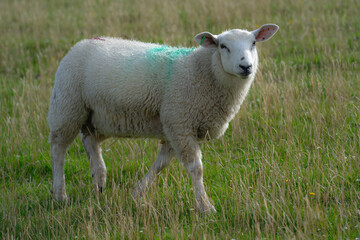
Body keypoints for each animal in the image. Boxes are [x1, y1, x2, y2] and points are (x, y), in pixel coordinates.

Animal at [47, 23, 278, 213]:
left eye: (253, 43)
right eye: (223, 46)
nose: (245, 66)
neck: (201, 72)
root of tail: (82, 43)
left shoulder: (174, 127)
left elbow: (161, 164)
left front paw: (137, 191)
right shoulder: (179, 122)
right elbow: (196, 169)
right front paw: (206, 206)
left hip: (99, 118)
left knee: (90, 142)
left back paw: (99, 182)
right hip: (67, 106)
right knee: (59, 149)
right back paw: (60, 194)